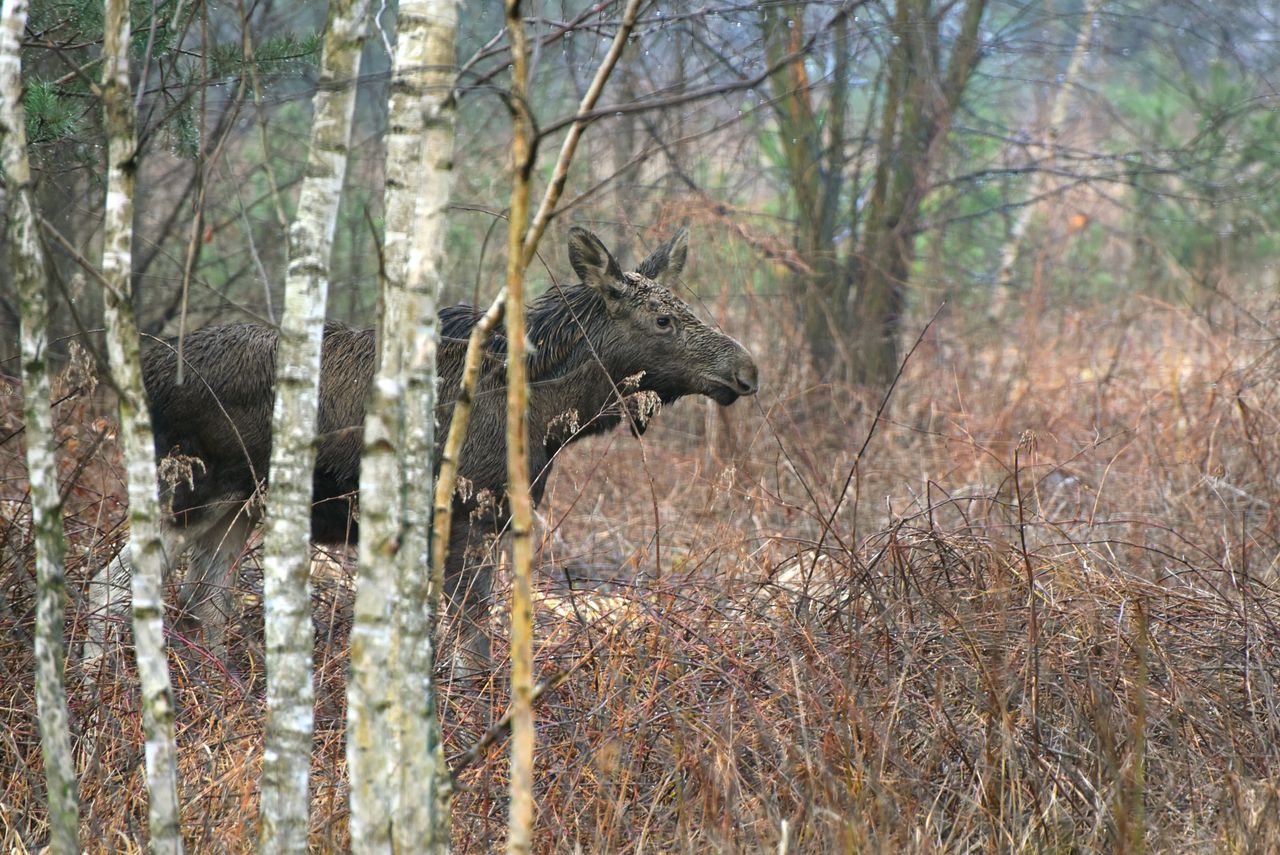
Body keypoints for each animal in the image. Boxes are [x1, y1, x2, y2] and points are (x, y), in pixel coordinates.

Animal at [94, 226, 757, 665]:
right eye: (663, 321)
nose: (746, 369)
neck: (546, 411)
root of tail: (144, 371)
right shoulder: (466, 515)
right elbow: (472, 639)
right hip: (190, 486)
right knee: (116, 581)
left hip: (240, 505)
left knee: (207, 593)